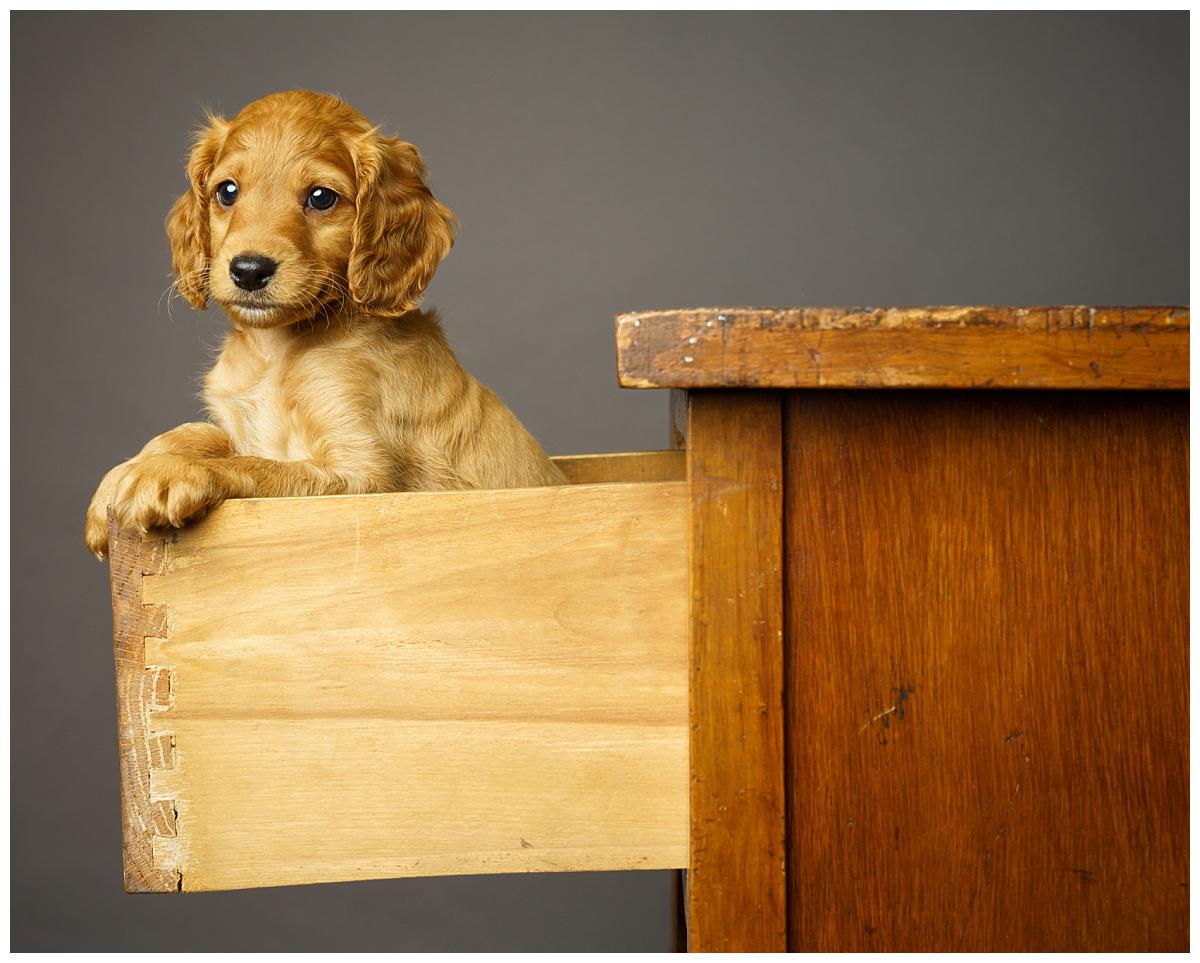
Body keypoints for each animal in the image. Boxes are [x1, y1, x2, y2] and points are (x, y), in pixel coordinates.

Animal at [84, 91, 561, 554]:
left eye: (320, 198)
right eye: (227, 191)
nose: (249, 271)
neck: (280, 353)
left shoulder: (362, 477)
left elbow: (259, 466)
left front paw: (169, 473)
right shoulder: (240, 423)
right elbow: (197, 431)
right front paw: (123, 476)